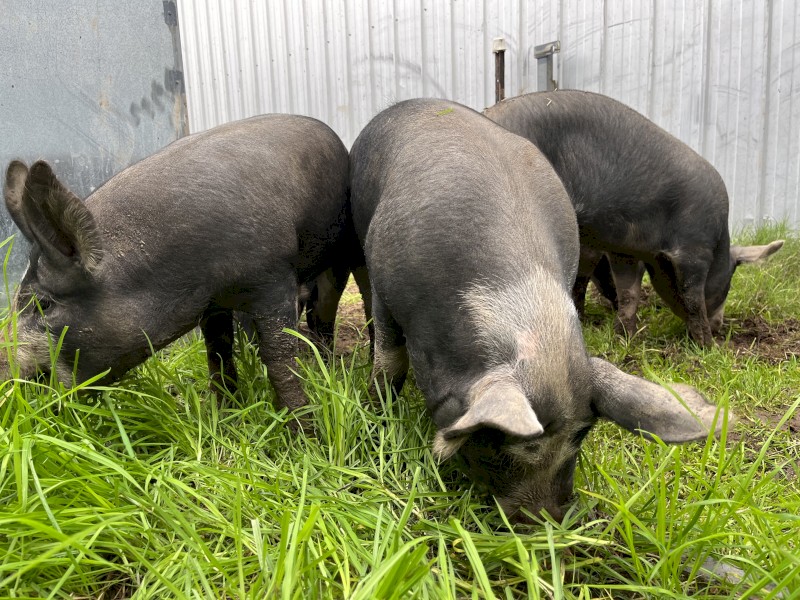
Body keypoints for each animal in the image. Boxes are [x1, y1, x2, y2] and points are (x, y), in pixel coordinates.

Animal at [1, 114, 354, 417]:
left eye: (43, 304)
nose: (5, 370)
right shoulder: (213, 303)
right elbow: (218, 354)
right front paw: (224, 415)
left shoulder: (272, 275)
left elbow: (279, 357)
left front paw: (302, 431)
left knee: (322, 309)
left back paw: (327, 364)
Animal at [349, 98, 725, 523]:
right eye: (498, 448)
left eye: (580, 440)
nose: (549, 518)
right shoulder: (386, 286)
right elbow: (390, 362)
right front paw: (376, 413)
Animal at [484, 90, 783, 346]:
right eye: (729, 281)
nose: (720, 327)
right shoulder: (694, 249)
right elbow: (693, 298)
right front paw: (708, 347)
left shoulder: (624, 250)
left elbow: (629, 292)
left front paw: (624, 338)